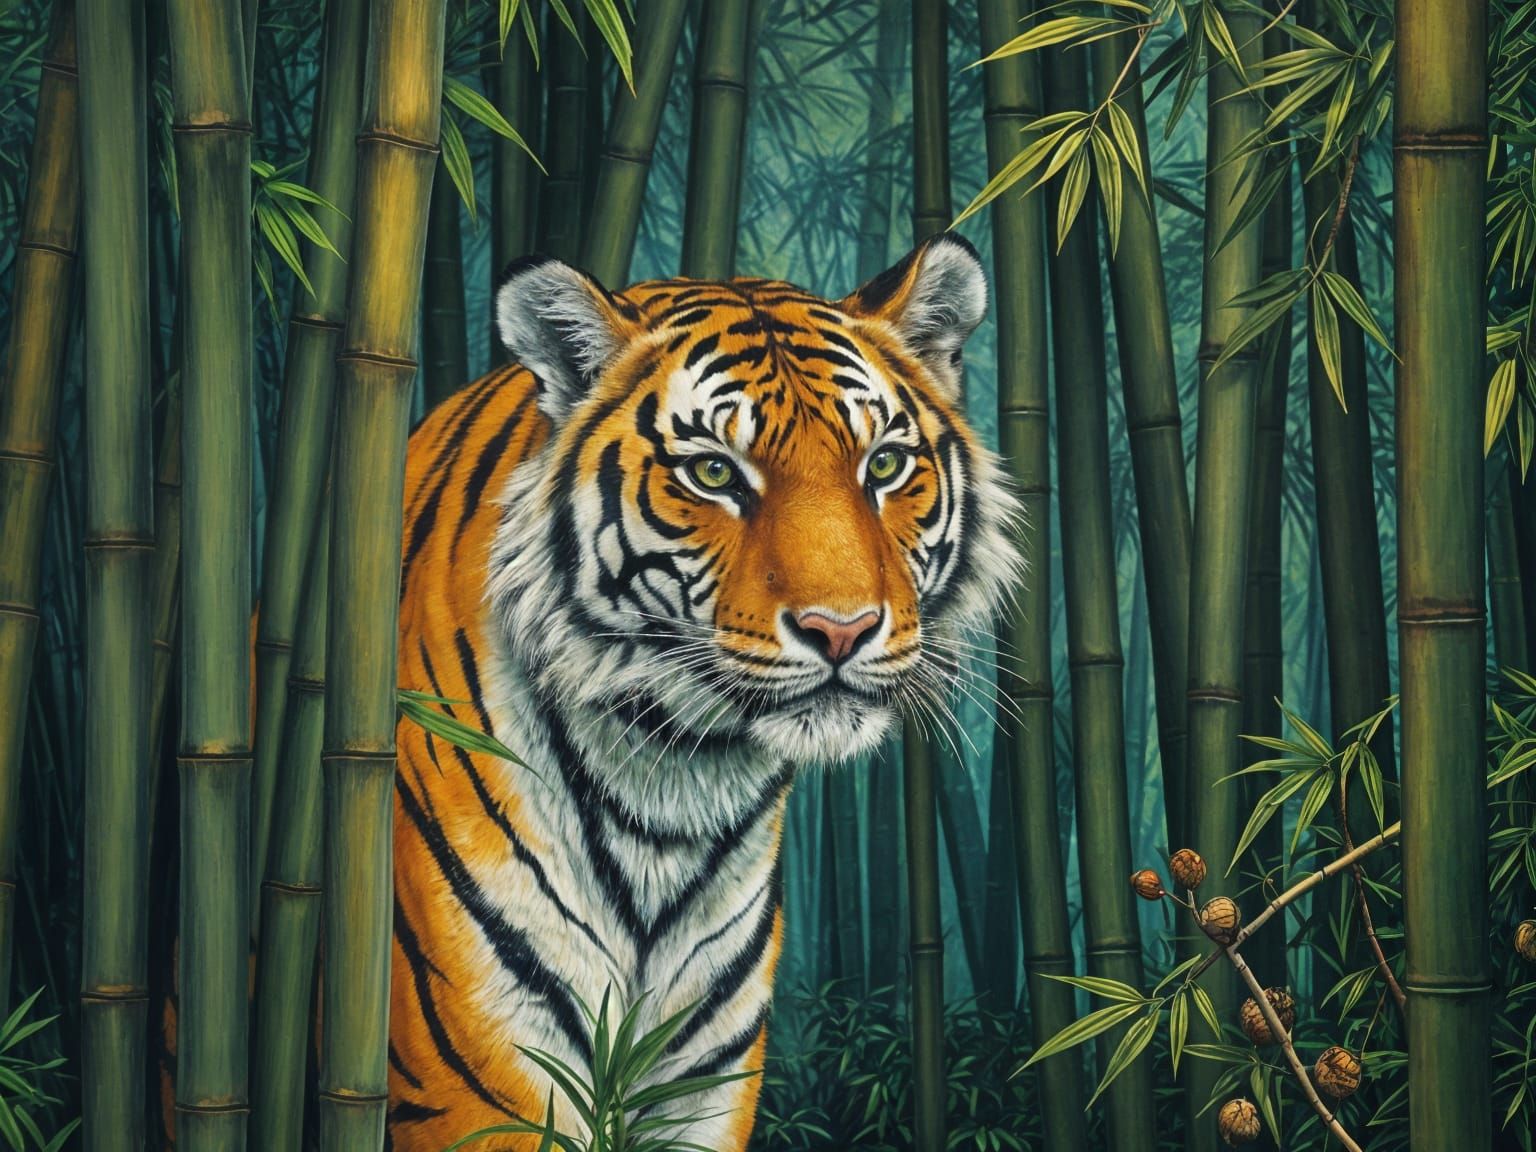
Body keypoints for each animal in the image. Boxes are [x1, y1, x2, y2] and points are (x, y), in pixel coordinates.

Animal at [387, 232, 1021, 1151]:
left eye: (886, 465)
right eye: (715, 474)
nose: (842, 629)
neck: (672, 785)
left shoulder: (706, 1082)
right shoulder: (484, 1079)